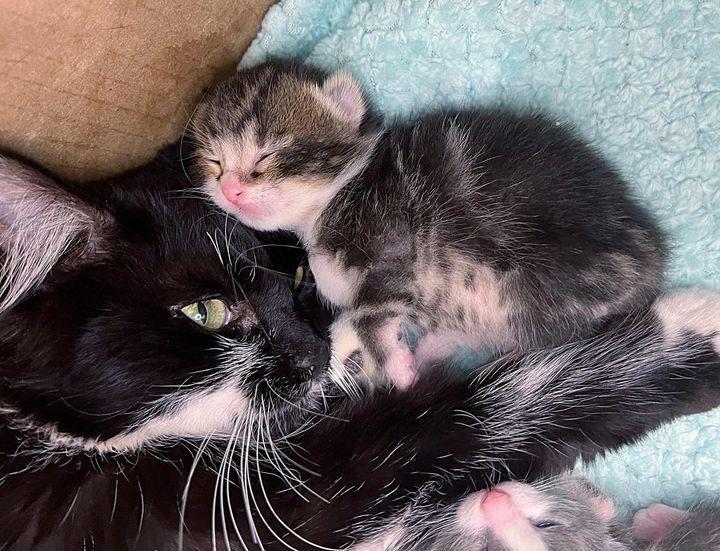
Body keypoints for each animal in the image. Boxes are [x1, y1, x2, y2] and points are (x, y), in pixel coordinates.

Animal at [193, 62, 668, 390]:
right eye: (214, 162)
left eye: (265, 155)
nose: (230, 188)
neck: (335, 197)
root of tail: (653, 256)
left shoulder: (393, 244)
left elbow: (367, 310)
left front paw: (397, 368)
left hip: (528, 293)